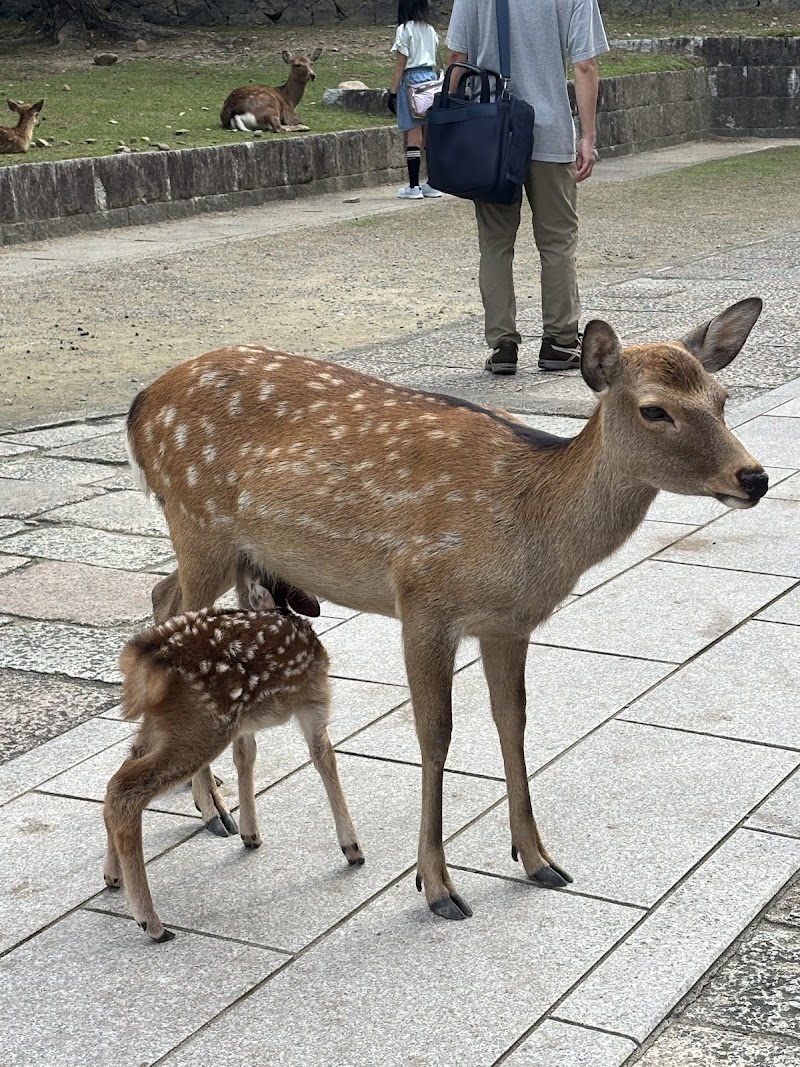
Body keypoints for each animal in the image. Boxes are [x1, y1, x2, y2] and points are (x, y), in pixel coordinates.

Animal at [103, 566, 364, 943]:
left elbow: (246, 755)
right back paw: (152, 923)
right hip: (202, 725)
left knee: (118, 775)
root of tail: (140, 660)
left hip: (162, 725)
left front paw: (251, 834)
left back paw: (113, 876)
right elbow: (324, 756)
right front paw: (352, 848)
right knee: (125, 790)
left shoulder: (244, 723)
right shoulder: (314, 700)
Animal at [125, 299, 768, 922]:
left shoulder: (508, 624)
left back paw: (209, 794)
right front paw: (436, 886)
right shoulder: (423, 601)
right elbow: (436, 735)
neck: (530, 520)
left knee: (161, 595)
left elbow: (513, 722)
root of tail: (139, 406)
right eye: (655, 410)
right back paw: (212, 808)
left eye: (722, 398)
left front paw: (538, 859)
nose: (755, 477)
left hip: (228, 549)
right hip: (198, 523)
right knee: (173, 611)